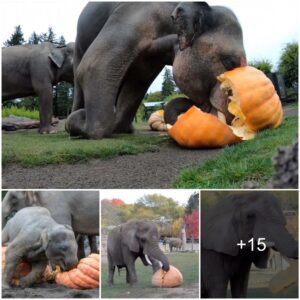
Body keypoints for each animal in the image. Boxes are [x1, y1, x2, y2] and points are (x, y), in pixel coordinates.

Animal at [66, 1, 246, 139]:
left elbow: (137, 84)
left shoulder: (151, 59)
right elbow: (93, 66)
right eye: (230, 62)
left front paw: (118, 126)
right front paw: (80, 123)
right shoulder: (133, 16)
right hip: (79, 43)